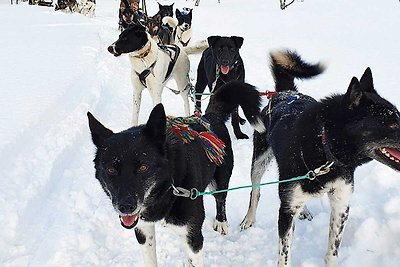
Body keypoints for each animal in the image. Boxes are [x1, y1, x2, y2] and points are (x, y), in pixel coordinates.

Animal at [89, 81, 268, 267]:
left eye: (143, 167)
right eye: (111, 169)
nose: (125, 207)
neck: (167, 188)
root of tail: (210, 116)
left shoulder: (193, 236)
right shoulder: (143, 230)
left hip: (220, 181)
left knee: (221, 200)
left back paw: (221, 222)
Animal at [241, 50, 400, 267]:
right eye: (392, 124)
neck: (326, 149)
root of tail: (285, 93)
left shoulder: (341, 204)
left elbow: (332, 251)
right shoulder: (286, 211)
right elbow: (285, 256)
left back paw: (304, 210)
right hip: (259, 161)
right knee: (255, 191)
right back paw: (249, 219)